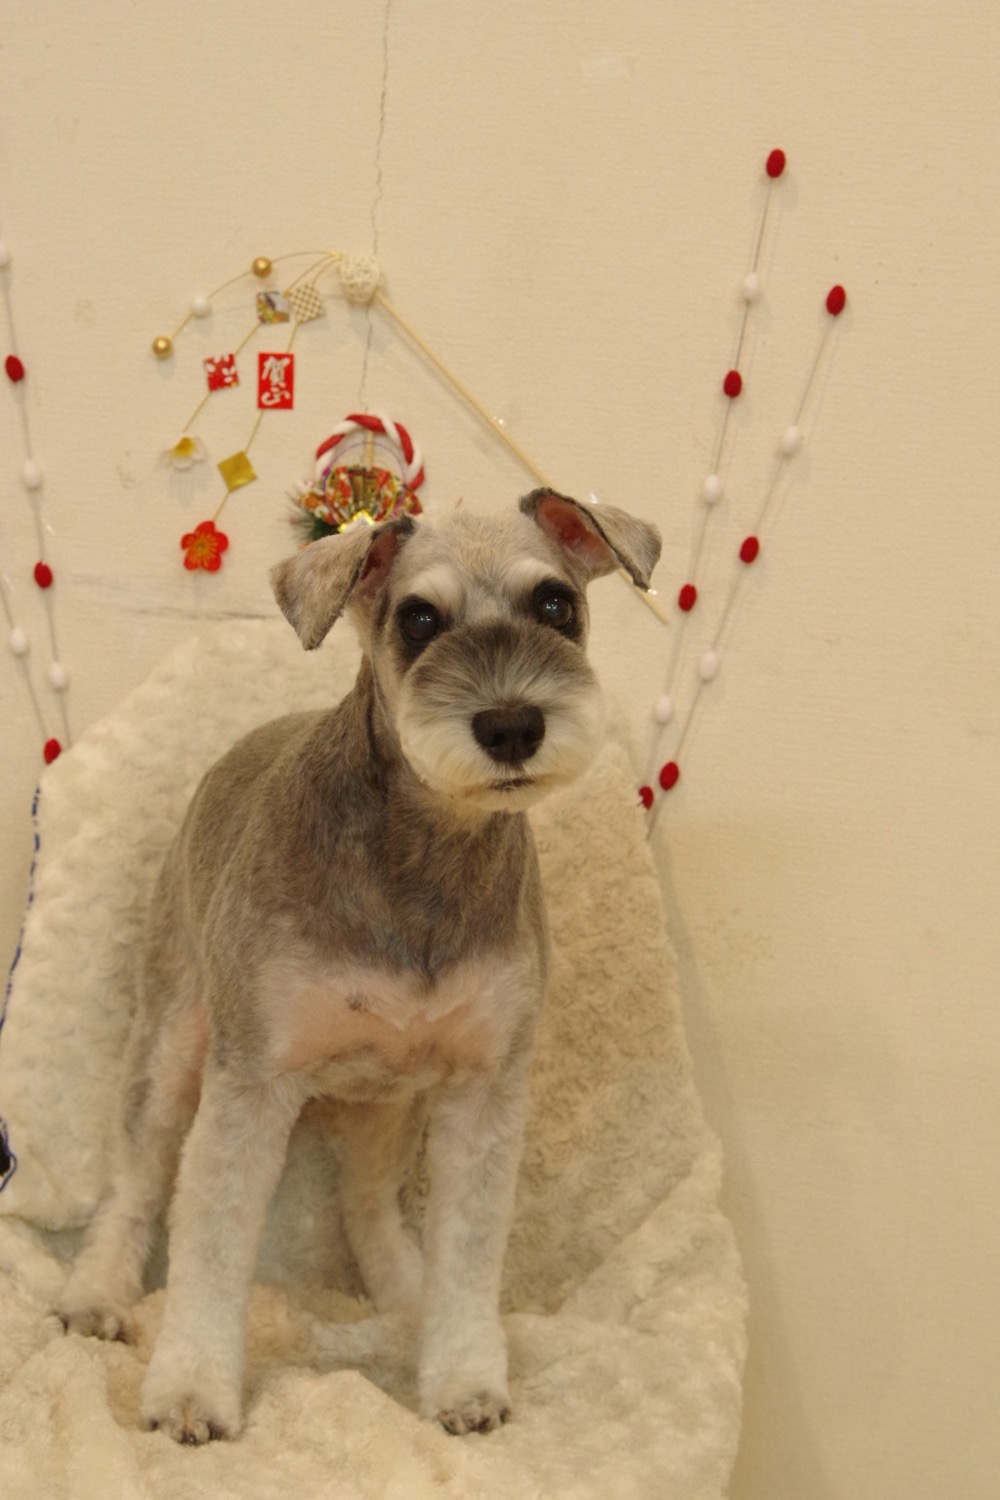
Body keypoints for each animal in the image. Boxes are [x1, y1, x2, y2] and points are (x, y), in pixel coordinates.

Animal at [57, 488, 661, 1444]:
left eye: (556, 604)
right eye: (418, 619)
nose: (511, 725)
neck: (424, 850)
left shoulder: (484, 1090)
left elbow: (469, 1250)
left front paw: (464, 1379)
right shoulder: (251, 1085)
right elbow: (211, 1243)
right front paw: (190, 1390)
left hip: (391, 1106)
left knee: (368, 1204)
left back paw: (405, 1293)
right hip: (172, 1042)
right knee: (135, 1180)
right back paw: (97, 1293)